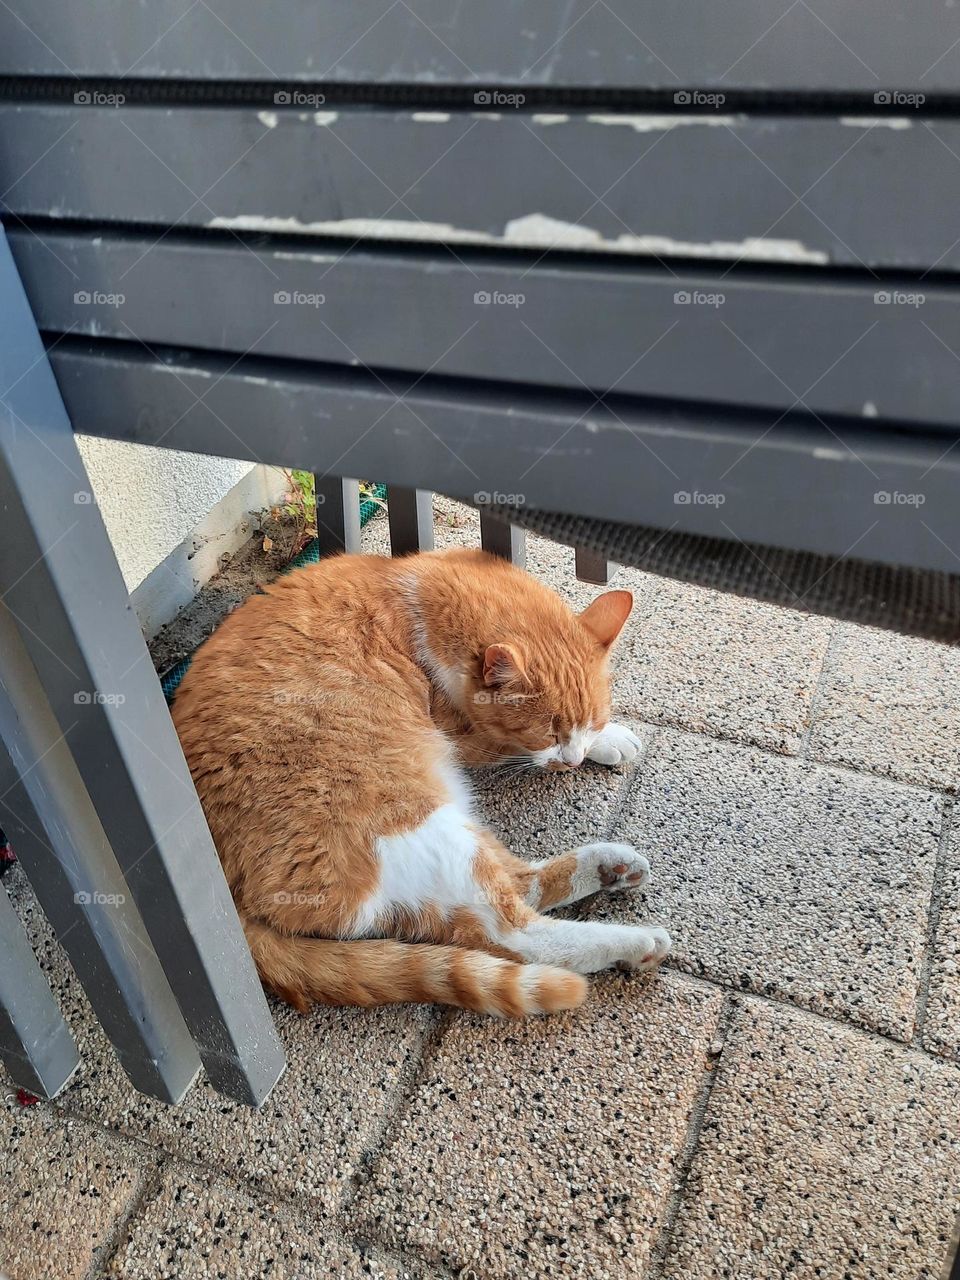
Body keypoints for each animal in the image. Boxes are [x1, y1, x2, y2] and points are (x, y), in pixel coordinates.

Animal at [172, 550, 670, 1018]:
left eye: (591, 721)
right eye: (547, 734)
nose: (574, 760)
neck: (419, 605)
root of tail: (230, 896)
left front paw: (606, 740)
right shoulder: (465, 737)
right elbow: (507, 750)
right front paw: (608, 741)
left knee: (517, 886)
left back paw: (611, 867)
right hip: (417, 821)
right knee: (510, 933)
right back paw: (634, 943)